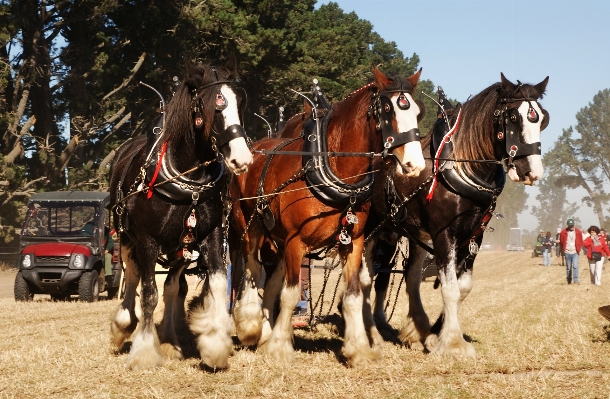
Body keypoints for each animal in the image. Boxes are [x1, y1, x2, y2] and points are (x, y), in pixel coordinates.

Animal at [107, 57, 252, 372]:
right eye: (214, 106)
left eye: (240, 102)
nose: (243, 159)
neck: (189, 178)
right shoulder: (146, 241)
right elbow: (149, 293)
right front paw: (144, 352)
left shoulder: (210, 236)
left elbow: (217, 282)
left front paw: (214, 345)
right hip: (125, 237)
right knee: (133, 277)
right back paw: (124, 324)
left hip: (180, 249)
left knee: (173, 286)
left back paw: (170, 339)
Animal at [230, 66, 426, 368]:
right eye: (386, 109)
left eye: (417, 112)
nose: (415, 164)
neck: (328, 165)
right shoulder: (296, 242)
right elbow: (290, 294)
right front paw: (280, 348)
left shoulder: (353, 242)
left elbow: (354, 295)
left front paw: (359, 350)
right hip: (250, 227)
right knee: (252, 269)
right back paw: (252, 326)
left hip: (278, 240)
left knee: (271, 280)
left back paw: (265, 332)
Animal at [364, 74, 548, 360]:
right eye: (513, 117)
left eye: (542, 119)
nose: (532, 172)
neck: (463, 166)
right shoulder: (444, 234)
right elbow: (449, 288)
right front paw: (452, 343)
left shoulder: (474, 236)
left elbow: (463, 287)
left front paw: (435, 335)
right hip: (373, 227)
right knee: (367, 272)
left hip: (408, 233)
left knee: (409, 276)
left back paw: (416, 330)